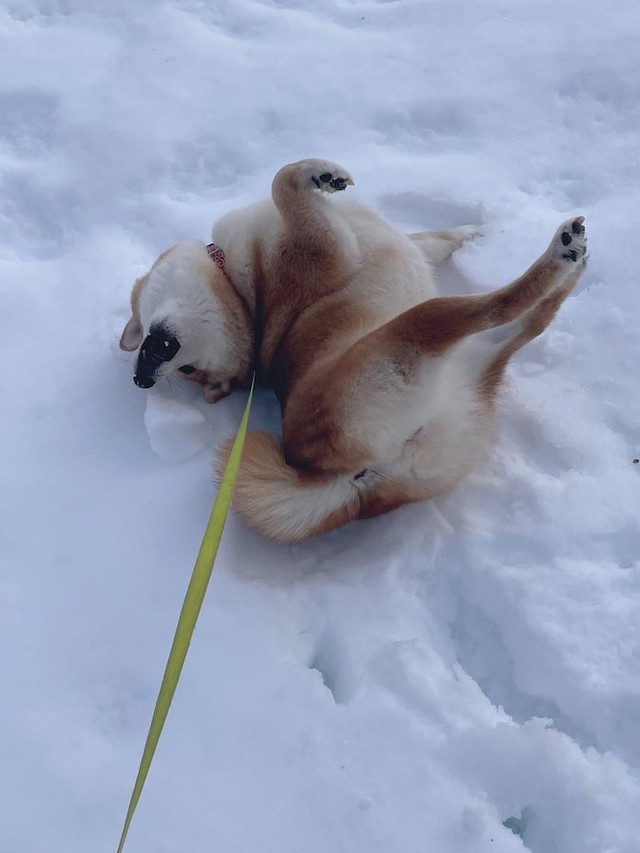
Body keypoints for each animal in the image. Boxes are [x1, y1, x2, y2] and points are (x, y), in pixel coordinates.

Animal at [120, 157, 592, 544]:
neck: (244, 294)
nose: (141, 377)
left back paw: (574, 261)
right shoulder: (327, 248)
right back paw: (559, 255)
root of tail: (348, 479)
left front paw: (470, 233)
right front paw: (320, 175)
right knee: (501, 305)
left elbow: (435, 240)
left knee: (535, 320)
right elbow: (283, 183)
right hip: (417, 332)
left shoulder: (396, 242)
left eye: (189, 371)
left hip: (475, 365)